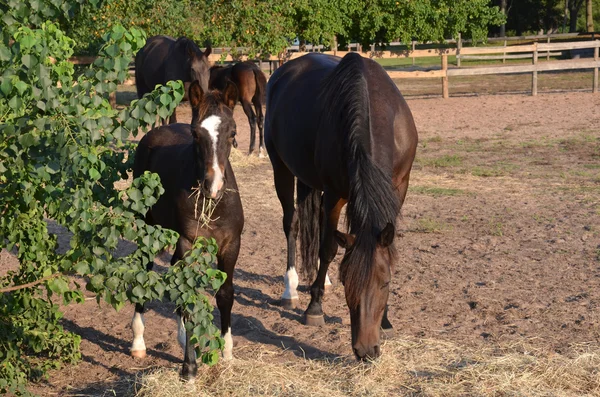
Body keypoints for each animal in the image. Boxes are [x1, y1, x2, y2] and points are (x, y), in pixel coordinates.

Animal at [131, 79, 244, 378]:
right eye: (195, 134)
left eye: (232, 132)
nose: (212, 186)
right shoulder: (187, 242)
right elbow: (190, 294)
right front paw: (189, 368)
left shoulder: (231, 244)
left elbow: (225, 295)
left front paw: (227, 355)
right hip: (149, 228)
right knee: (145, 272)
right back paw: (138, 341)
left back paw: (183, 336)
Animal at [264, 53, 420, 362]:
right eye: (348, 283)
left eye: (385, 283)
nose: (366, 350)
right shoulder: (335, 194)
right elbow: (327, 249)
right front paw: (314, 309)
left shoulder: (399, 186)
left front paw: (386, 320)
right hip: (282, 169)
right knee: (292, 224)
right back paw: (291, 289)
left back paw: (320, 282)